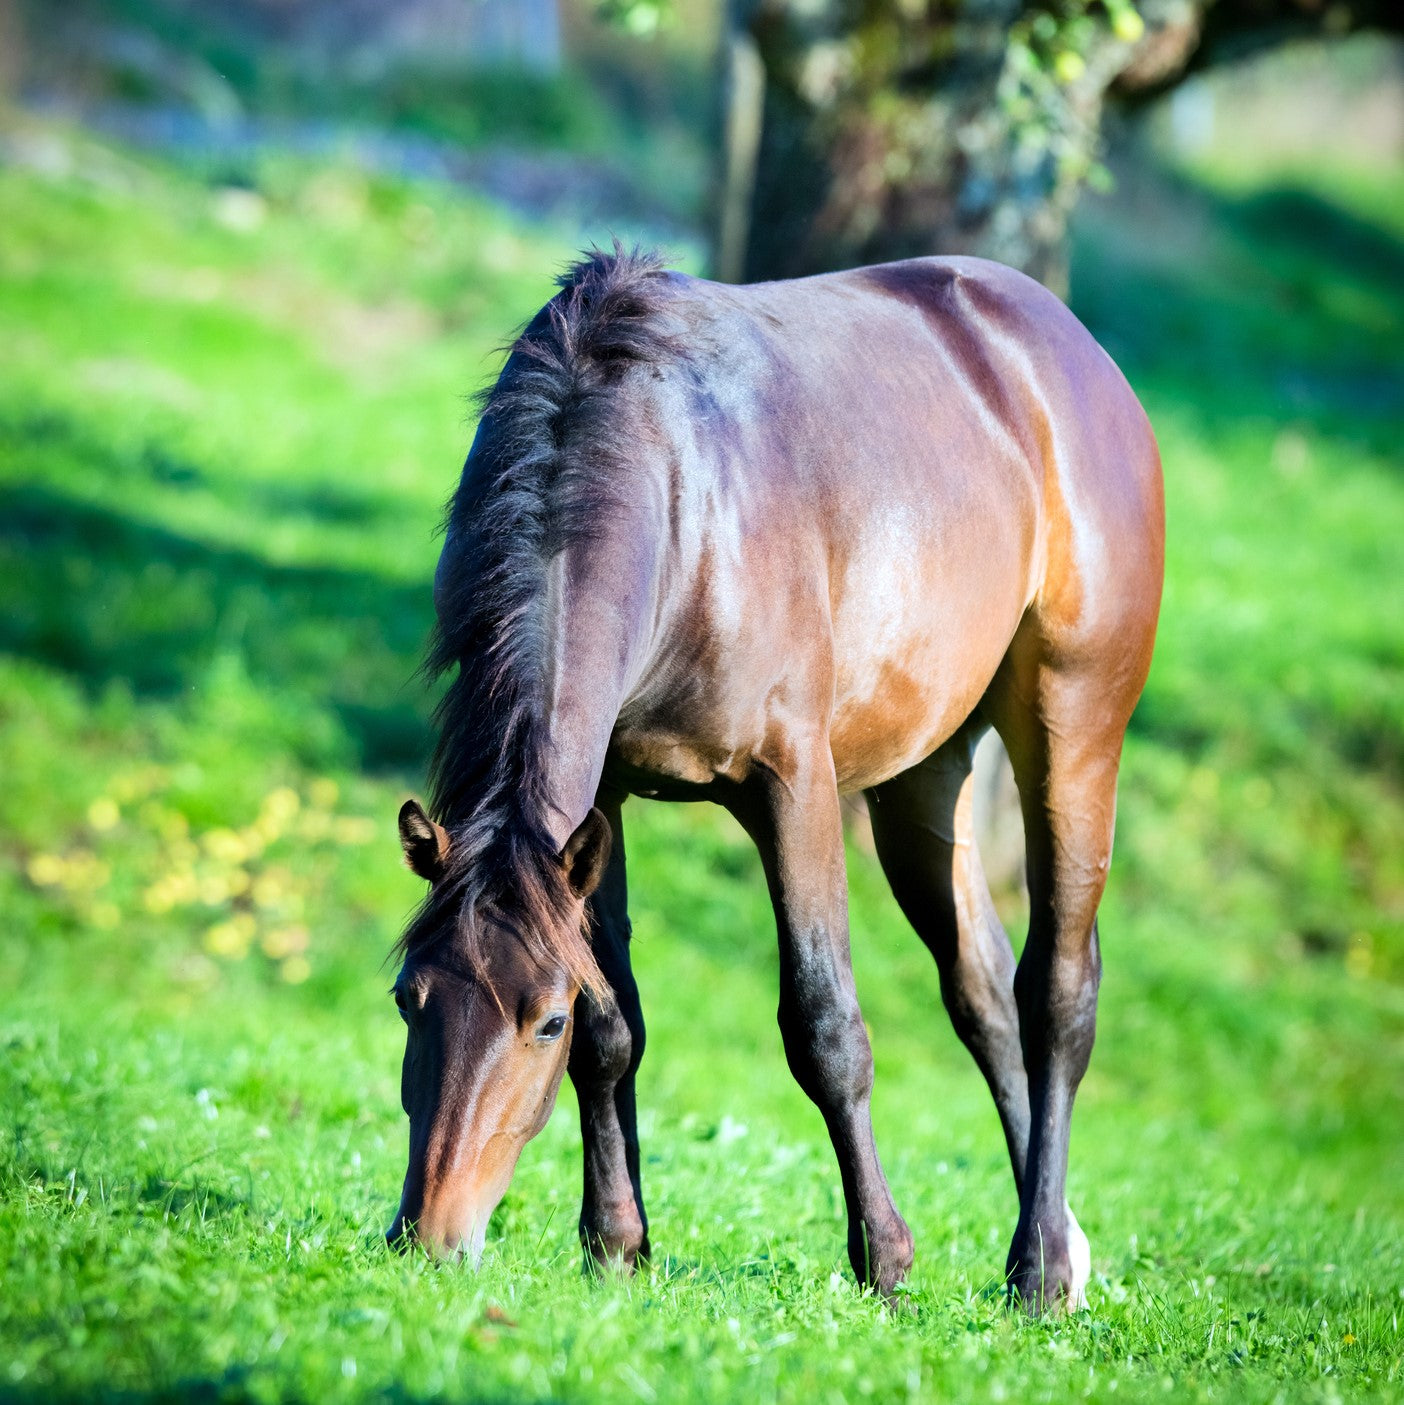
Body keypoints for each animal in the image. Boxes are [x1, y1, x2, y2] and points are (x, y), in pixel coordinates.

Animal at [385, 244, 1163, 1315]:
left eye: (539, 1021)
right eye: (407, 998)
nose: (427, 1237)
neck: (676, 498)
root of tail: (1066, 344)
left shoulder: (792, 787)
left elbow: (825, 1027)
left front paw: (884, 1258)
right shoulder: (598, 807)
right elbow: (615, 1026)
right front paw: (617, 1243)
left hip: (1073, 730)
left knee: (1057, 992)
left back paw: (1041, 1266)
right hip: (925, 781)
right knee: (984, 992)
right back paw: (1060, 1249)